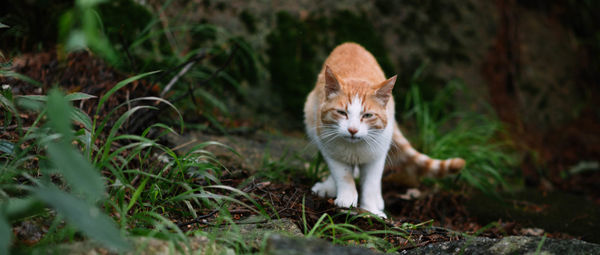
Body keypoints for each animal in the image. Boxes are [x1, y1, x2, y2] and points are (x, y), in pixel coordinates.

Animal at [304, 42, 464, 218]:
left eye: (367, 115)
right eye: (341, 113)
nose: (352, 130)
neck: (355, 147)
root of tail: (351, 44)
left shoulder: (378, 155)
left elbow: (371, 184)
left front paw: (371, 210)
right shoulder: (329, 148)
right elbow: (343, 174)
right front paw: (347, 198)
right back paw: (329, 187)